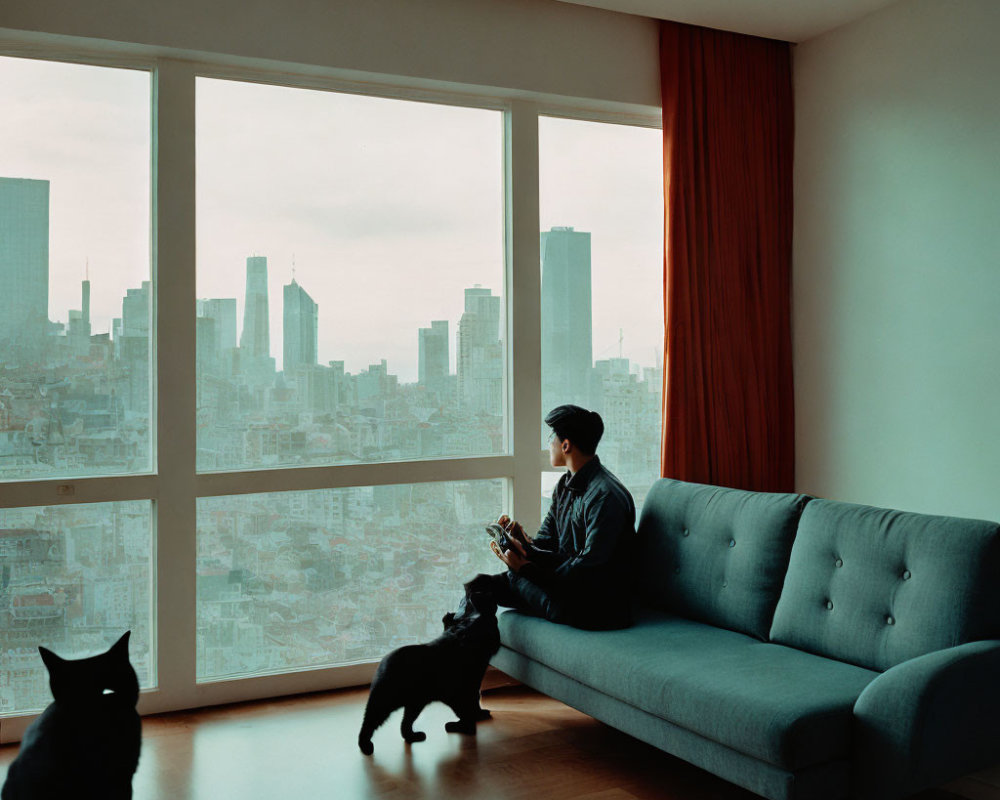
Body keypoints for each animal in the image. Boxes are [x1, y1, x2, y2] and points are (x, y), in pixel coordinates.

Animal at [358, 588, 500, 752]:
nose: (469, 595)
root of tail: (383, 662)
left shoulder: (469, 687)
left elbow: (473, 705)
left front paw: (476, 716)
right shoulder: (461, 692)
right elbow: (468, 712)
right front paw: (469, 723)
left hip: (415, 703)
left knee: (404, 725)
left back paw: (414, 736)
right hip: (387, 700)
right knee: (369, 721)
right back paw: (365, 745)